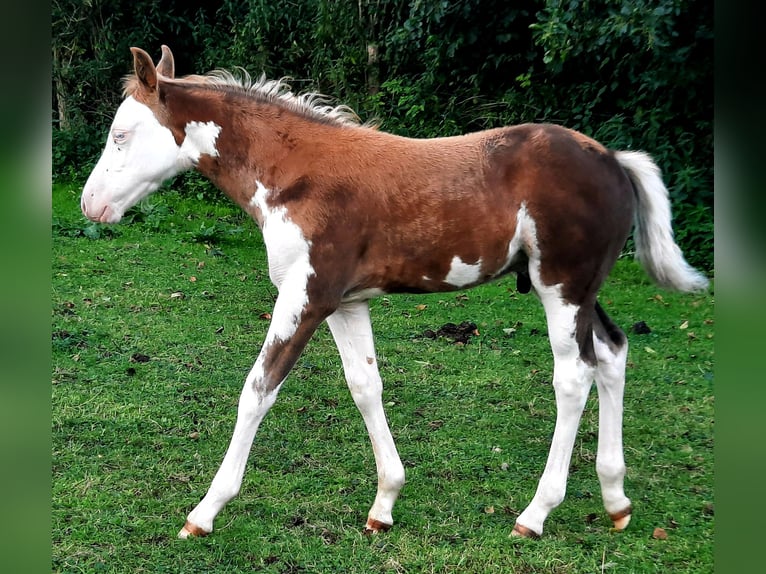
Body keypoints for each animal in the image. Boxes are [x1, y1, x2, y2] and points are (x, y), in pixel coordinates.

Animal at [80, 45, 709, 540]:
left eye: (121, 135)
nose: (90, 205)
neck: (293, 173)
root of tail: (614, 159)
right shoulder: (346, 302)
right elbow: (366, 387)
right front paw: (384, 504)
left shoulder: (306, 296)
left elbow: (257, 389)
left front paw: (204, 512)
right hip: (579, 287)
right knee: (612, 353)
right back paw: (616, 500)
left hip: (562, 285)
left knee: (574, 375)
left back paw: (535, 514)